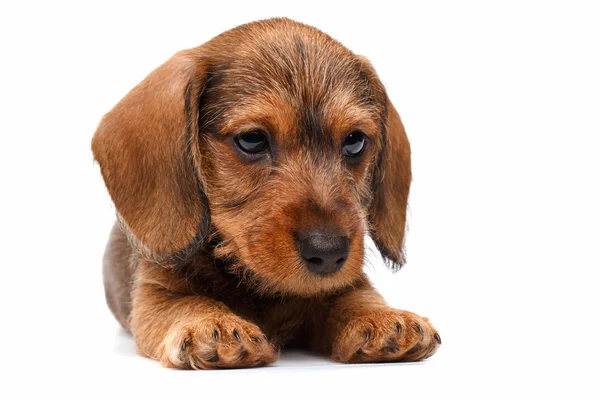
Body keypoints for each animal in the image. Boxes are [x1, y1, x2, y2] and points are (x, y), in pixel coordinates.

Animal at [94, 18, 440, 368]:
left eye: (355, 141)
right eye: (252, 139)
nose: (328, 251)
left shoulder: (345, 284)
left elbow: (354, 296)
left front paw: (380, 317)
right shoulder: (155, 293)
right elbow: (186, 302)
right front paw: (214, 324)